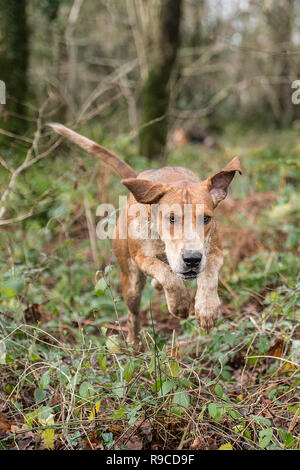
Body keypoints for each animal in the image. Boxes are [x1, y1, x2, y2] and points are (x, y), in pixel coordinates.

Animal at [49, 124, 241, 346]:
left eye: (206, 218)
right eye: (171, 218)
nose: (192, 259)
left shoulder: (216, 252)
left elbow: (208, 274)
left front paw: (207, 310)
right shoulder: (141, 257)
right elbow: (167, 275)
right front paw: (179, 303)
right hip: (130, 282)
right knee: (133, 314)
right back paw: (133, 342)